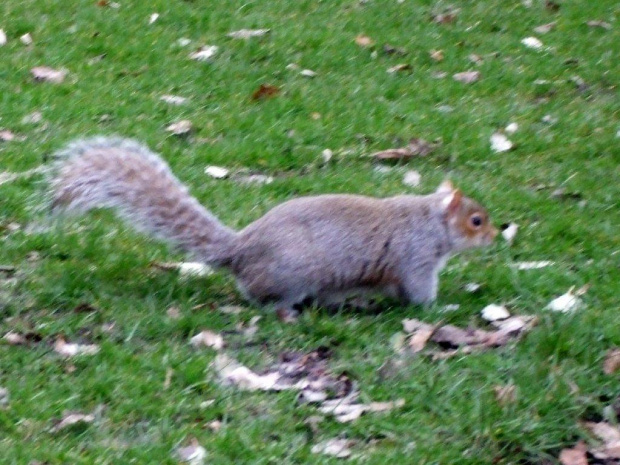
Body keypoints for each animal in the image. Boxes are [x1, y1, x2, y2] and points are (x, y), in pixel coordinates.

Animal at [49, 136, 498, 320]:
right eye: (476, 220)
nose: (497, 235)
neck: (430, 221)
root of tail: (240, 251)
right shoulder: (415, 258)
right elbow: (419, 294)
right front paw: (445, 308)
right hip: (291, 275)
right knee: (265, 301)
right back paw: (289, 313)